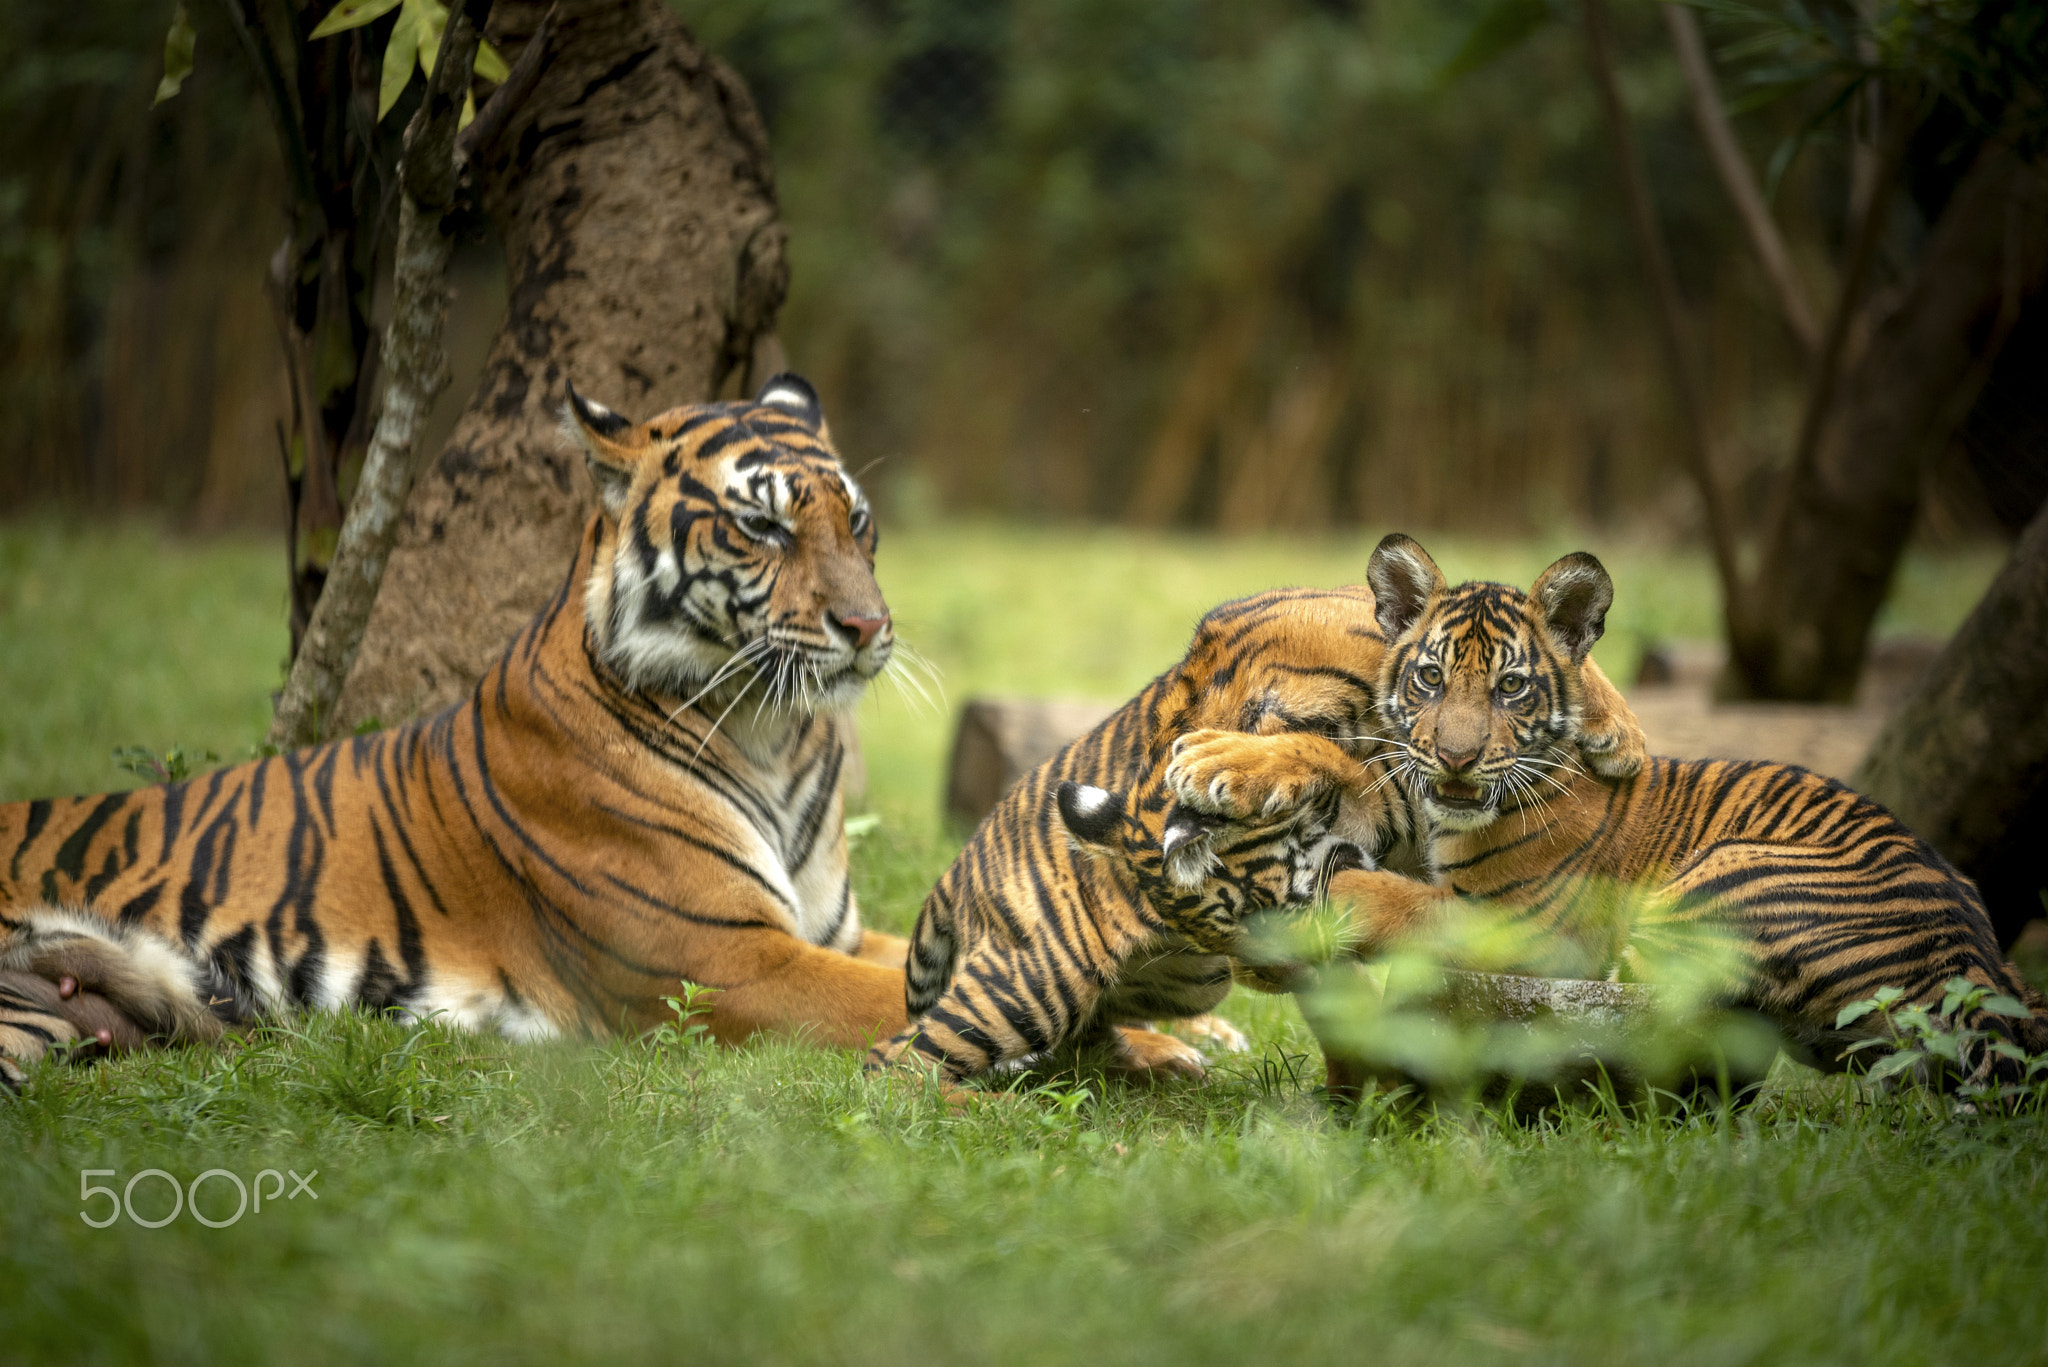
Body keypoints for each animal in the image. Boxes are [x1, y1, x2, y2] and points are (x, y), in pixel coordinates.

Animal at [0, 370, 913, 1090]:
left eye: (858, 521)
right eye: (762, 526)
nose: (869, 625)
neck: (775, 733)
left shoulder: (835, 934)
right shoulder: (726, 963)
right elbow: (902, 993)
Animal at [864, 582, 1646, 1090]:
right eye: (1235, 927)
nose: (1270, 974)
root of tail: (953, 873)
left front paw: (1622, 738)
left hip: (1164, 990)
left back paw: (1159, 1065)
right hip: (1032, 983)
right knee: (895, 1062)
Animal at [1163, 532, 2048, 1090]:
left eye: (1510, 687)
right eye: (1429, 678)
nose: (1455, 756)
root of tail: (1979, 965)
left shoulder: (1524, 928)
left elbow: (1404, 899)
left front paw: (1321, 898)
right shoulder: (1403, 783)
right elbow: (1342, 768)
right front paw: (1219, 762)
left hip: (1710, 880)